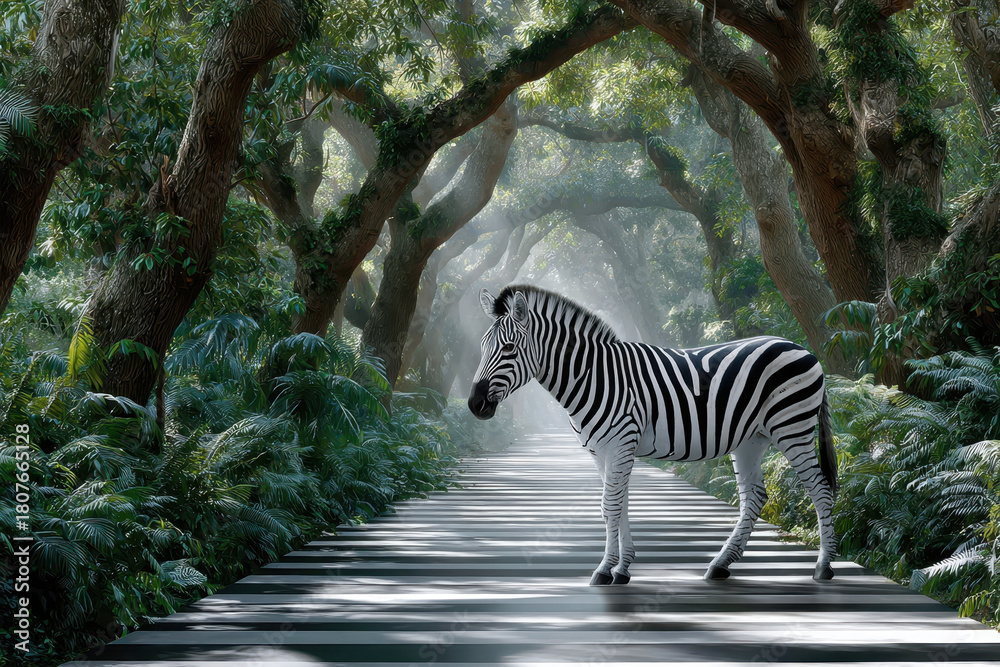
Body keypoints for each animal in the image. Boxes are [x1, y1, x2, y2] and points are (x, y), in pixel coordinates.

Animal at [468, 285, 838, 586]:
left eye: (510, 348)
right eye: (483, 346)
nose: (474, 404)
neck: (592, 375)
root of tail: (803, 348)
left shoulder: (620, 443)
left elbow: (610, 506)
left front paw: (604, 569)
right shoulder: (602, 451)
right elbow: (618, 505)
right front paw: (621, 568)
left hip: (792, 428)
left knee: (820, 490)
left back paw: (823, 567)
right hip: (751, 439)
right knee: (755, 497)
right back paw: (720, 564)